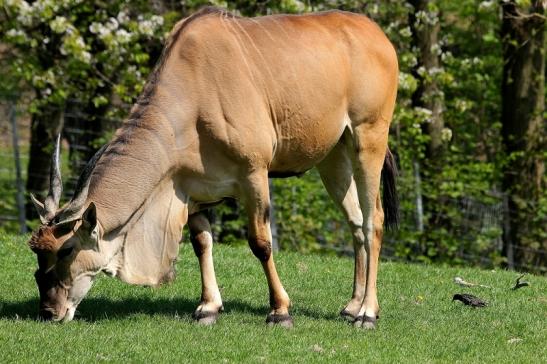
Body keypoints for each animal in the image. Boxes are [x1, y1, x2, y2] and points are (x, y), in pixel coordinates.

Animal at [27, 7, 398, 328]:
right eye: (38, 254)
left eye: (66, 249)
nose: (49, 311)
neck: (193, 89)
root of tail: (378, 36)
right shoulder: (191, 189)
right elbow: (201, 241)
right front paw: (208, 307)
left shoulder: (254, 175)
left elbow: (261, 243)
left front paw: (279, 311)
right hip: (333, 157)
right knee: (355, 221)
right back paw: (352, 306)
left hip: (368, 138)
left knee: (374, 220)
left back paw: (367, 312)